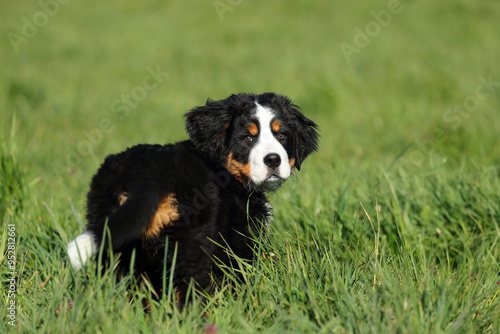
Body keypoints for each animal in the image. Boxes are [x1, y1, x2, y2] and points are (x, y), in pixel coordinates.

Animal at [66, 92, 318, 302]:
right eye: (247, 138)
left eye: (282, 135)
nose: (274, 160)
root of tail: (147, 175)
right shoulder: (240, 238)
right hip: (191, 240)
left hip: (113, 238)